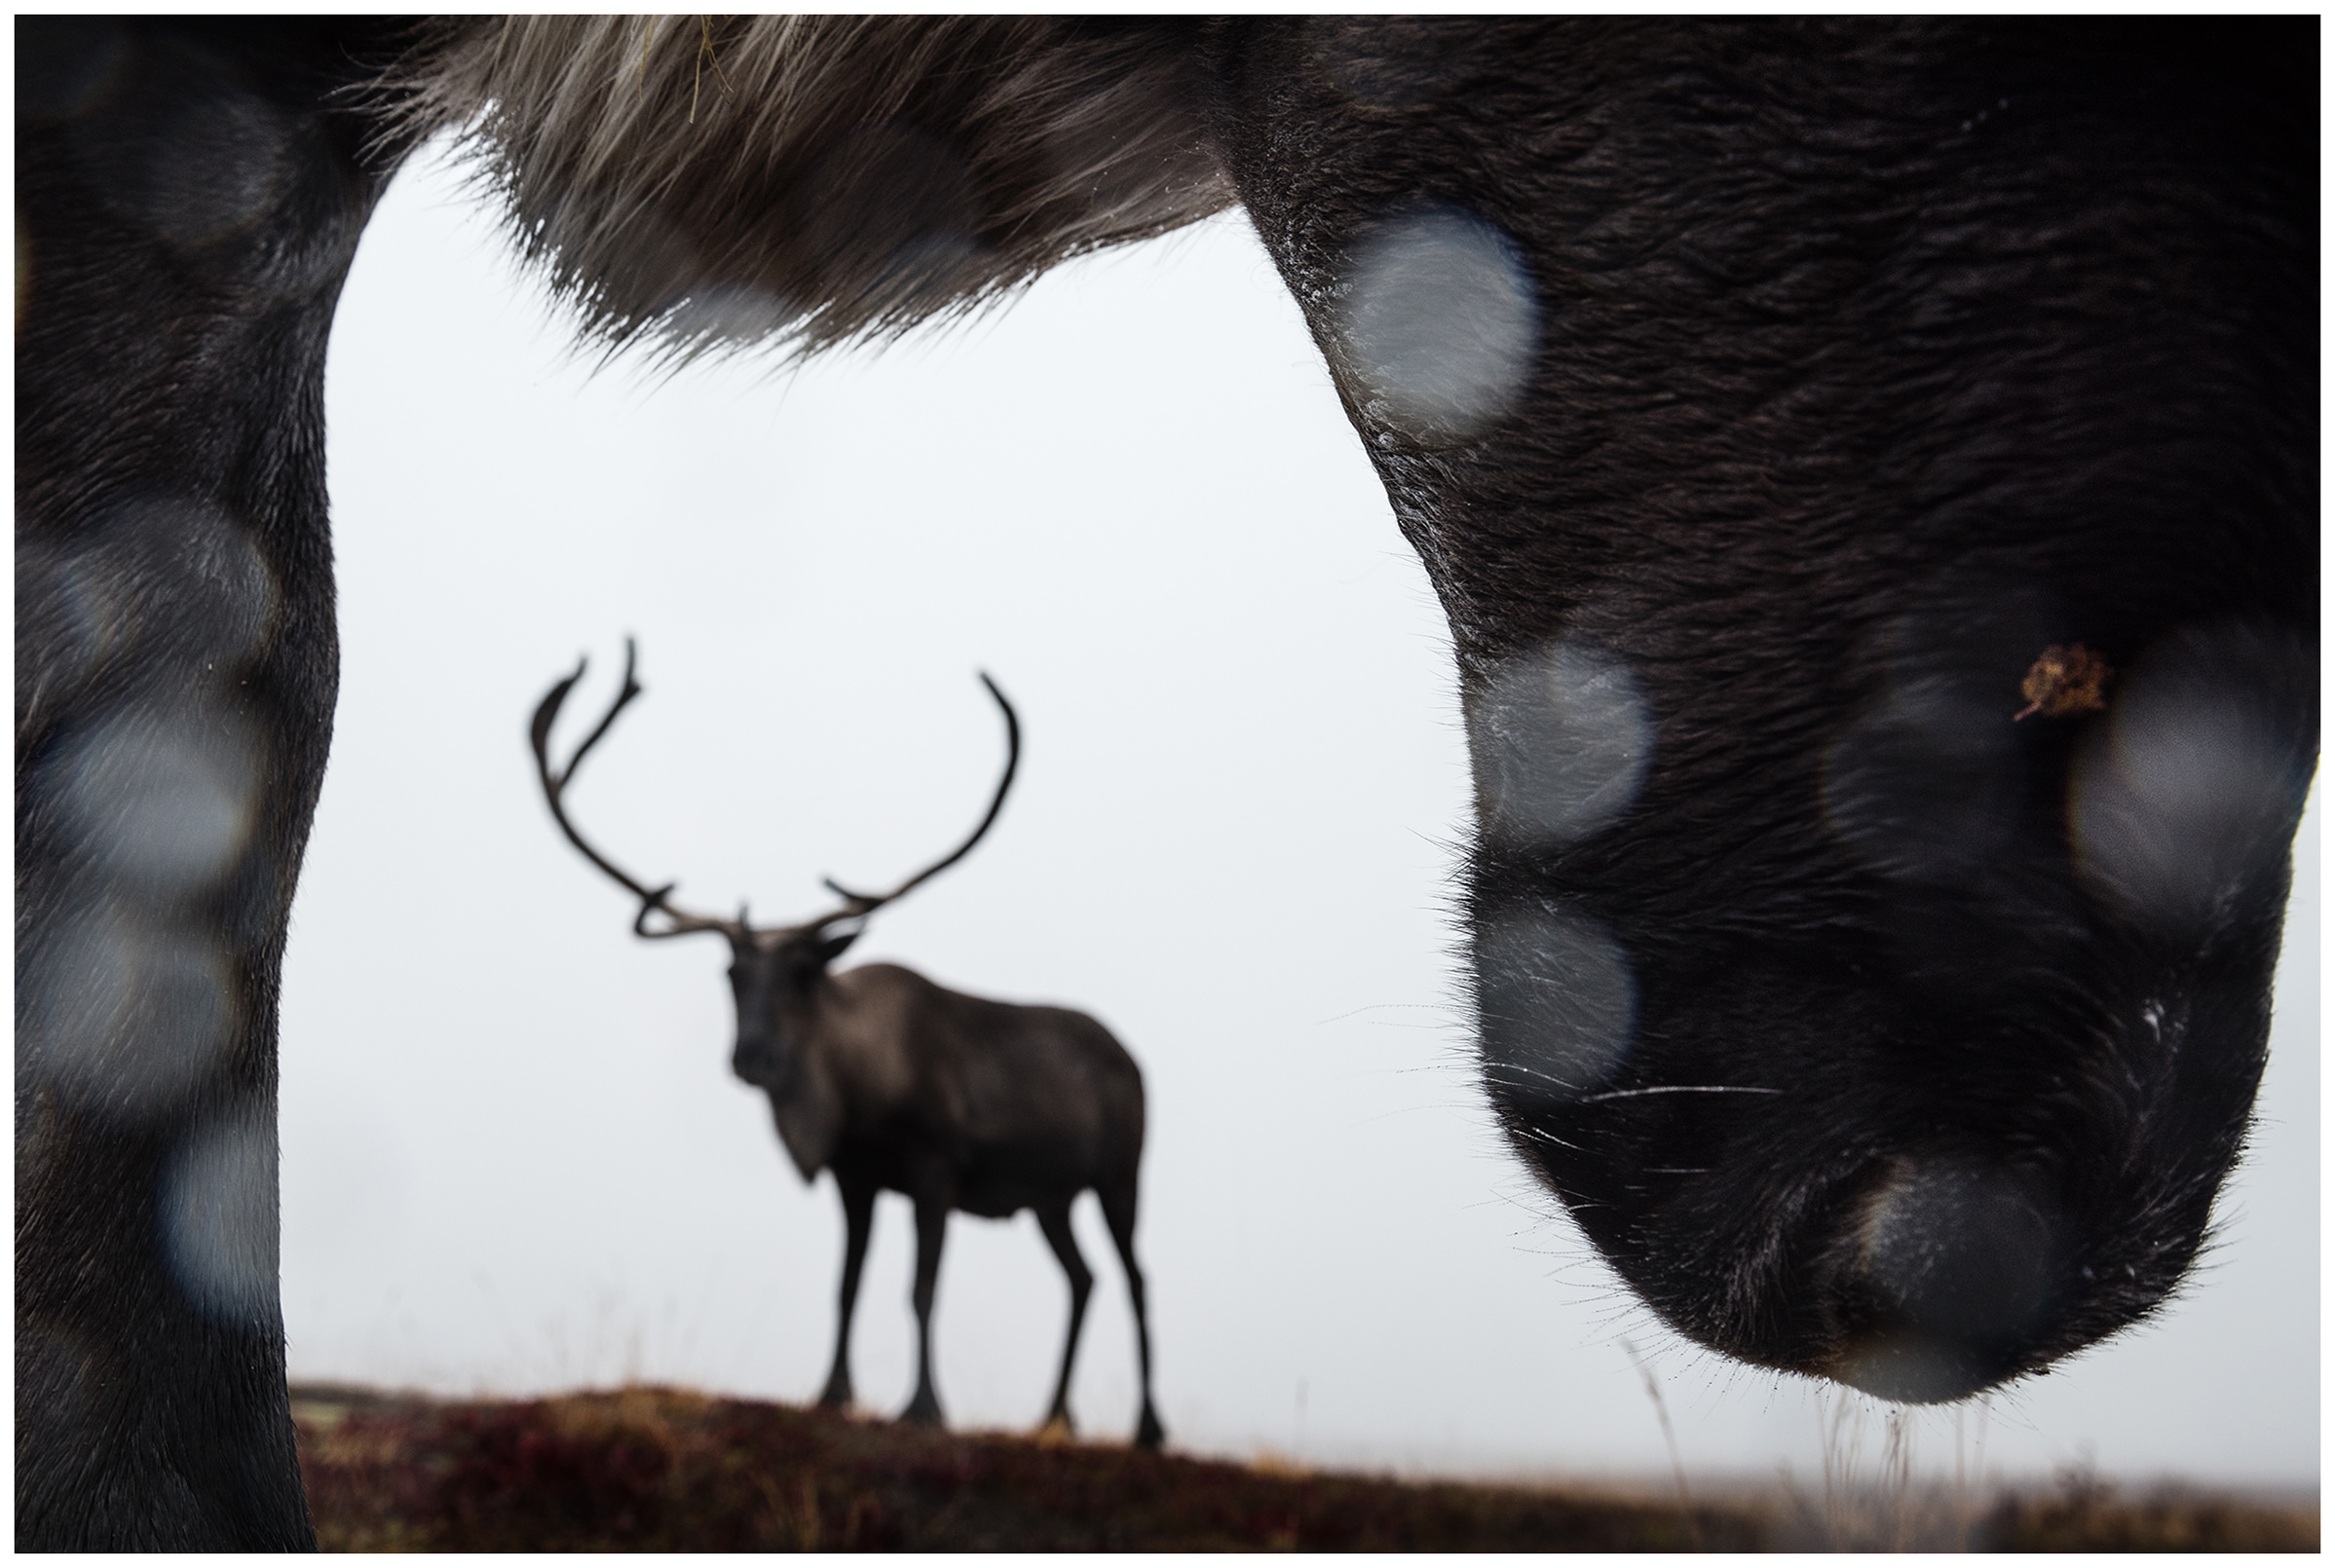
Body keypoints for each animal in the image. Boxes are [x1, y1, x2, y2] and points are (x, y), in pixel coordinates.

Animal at [527, 641, 1165, 1451]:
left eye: (805, 972)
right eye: (731, 972)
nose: (753, 1058)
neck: (860, 1098)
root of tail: (1130, 1056)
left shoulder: (935, 1170)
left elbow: (919, 1288)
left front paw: (923, 1406)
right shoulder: (854, 1177)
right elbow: (847, 1283)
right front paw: (831, 1394)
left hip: (1119, 1173)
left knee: (1136, 1278)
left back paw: (1148, 1426)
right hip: (1049, 1197)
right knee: (1082, 1278)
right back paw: (1053, 1415)